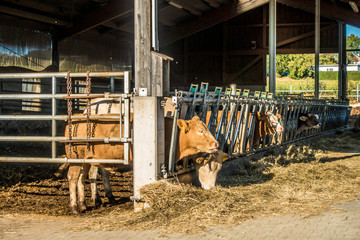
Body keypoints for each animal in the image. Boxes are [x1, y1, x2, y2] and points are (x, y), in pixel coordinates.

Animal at [65, 114, 222, 214]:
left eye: (218, 168)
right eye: (200, 131)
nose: (216, 143)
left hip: (85, 161)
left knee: (81, 178)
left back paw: (83, 205)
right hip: (75, 158)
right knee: (73, 177)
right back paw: (74, 207)